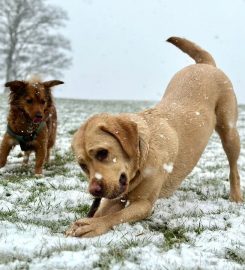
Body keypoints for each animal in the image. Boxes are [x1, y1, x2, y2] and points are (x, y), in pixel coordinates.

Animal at [65, 37, 243, 237]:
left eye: (102, 153)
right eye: (82, 165)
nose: (94, 191)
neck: (144, 153)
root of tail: (205, 64)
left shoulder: (144, 204)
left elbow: (115, 217)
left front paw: (93, 225)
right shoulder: (116, 196)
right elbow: (103, 211)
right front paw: (86, 221)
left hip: (229, 132)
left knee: (233, 167)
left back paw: (236, 196)